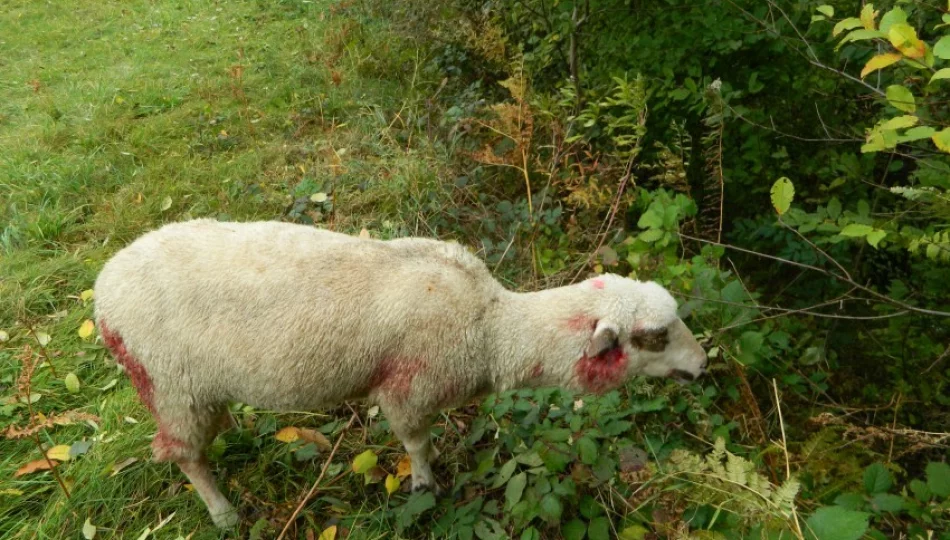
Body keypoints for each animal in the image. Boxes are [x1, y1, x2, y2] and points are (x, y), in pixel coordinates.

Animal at [93, 219, 712, 528]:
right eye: (653, 337)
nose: (704, 364)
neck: (493, 330)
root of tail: (101, 291)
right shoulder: (408, 389)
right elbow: (417, 444)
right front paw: (424, 487)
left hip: (193, 388)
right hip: (169, 382)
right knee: (182, 455)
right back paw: (222, 513)